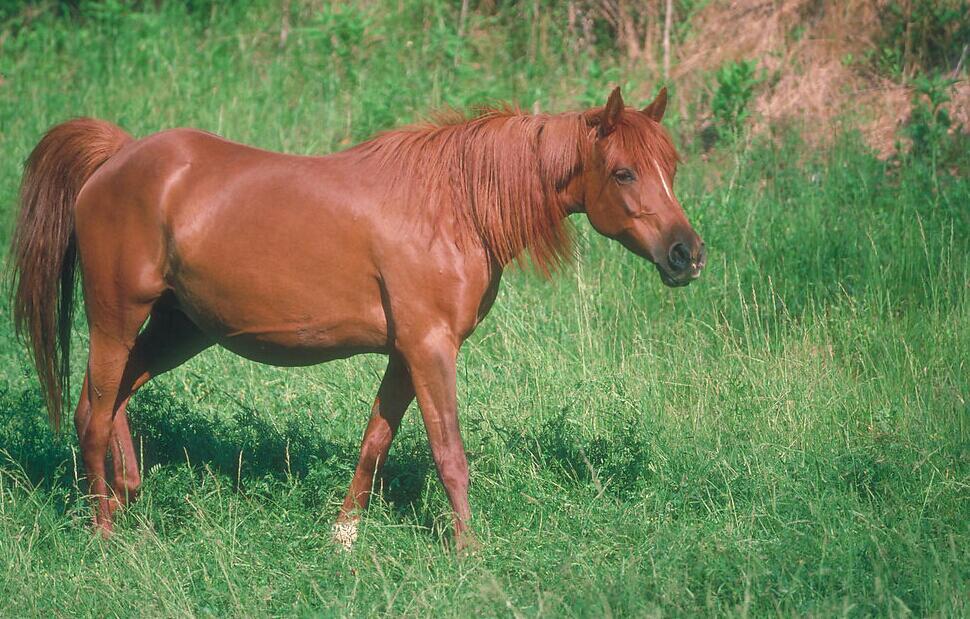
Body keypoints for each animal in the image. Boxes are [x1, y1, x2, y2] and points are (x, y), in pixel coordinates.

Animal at [9, 85, 704, 548]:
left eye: (671, 168)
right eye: (623, 172)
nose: (687, 255)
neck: (453, 204)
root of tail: (117, 157)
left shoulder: (405, 352)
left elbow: (376, 437)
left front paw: (344, 534)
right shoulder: (430, 348)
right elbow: (449, 452)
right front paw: (469, 552)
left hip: (178, 329)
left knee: (109, 399)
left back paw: (126, 497)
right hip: (117, 319)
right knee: (95, 412)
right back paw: (104, 531)